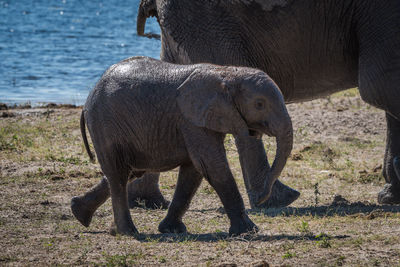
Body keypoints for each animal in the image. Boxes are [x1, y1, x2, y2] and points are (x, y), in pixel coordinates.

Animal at [72, 57, 292, 237]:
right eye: (260, 104)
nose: (261, 199)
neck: (227, 72)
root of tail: (87, 101)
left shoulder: (201, 120)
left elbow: (193, 171)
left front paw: (171, 230)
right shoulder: (192, 120)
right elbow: (212, 166)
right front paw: (249, 231)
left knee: (128, 171)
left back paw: (80, 213)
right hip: (104, 124)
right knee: (118, 174)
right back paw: (128, 232)